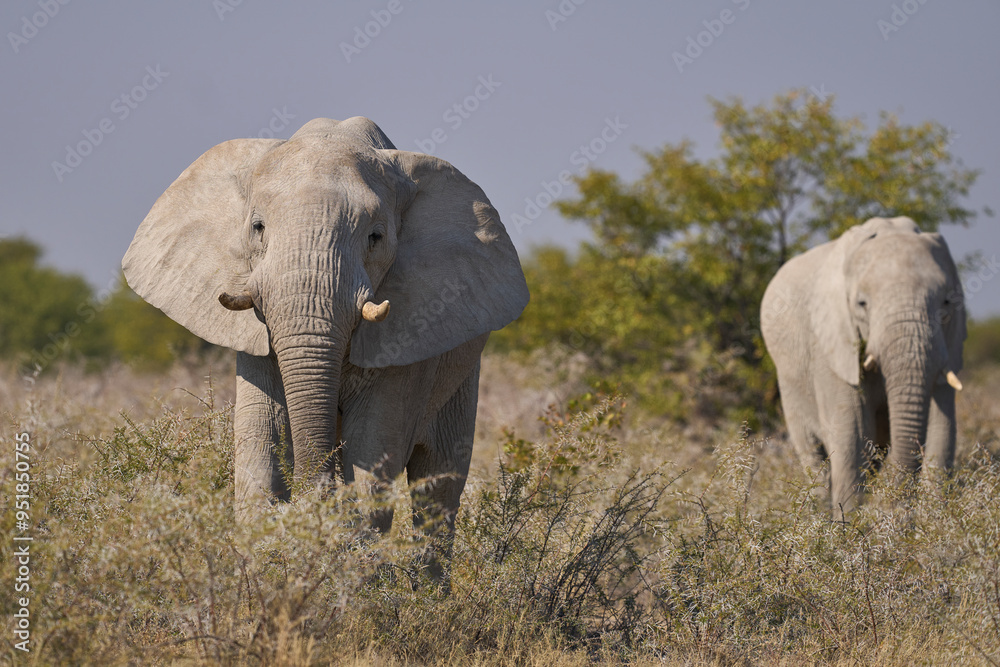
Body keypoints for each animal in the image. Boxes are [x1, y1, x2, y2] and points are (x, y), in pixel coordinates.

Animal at [122, 116, 529, 579]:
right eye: (258, 228)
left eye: (376, 237)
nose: (314, 500)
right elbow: (262, 437)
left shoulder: (411, 327)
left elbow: (373, 448)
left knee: (439, 482)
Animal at [761, 216, 965, 518]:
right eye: (862, 304)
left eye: (947, 302)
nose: (894, 506)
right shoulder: (830, 346)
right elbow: (853, 437)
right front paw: (850, 528)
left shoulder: (948, 345)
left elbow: (943, 432)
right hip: (788, 383)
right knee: (814, 456)